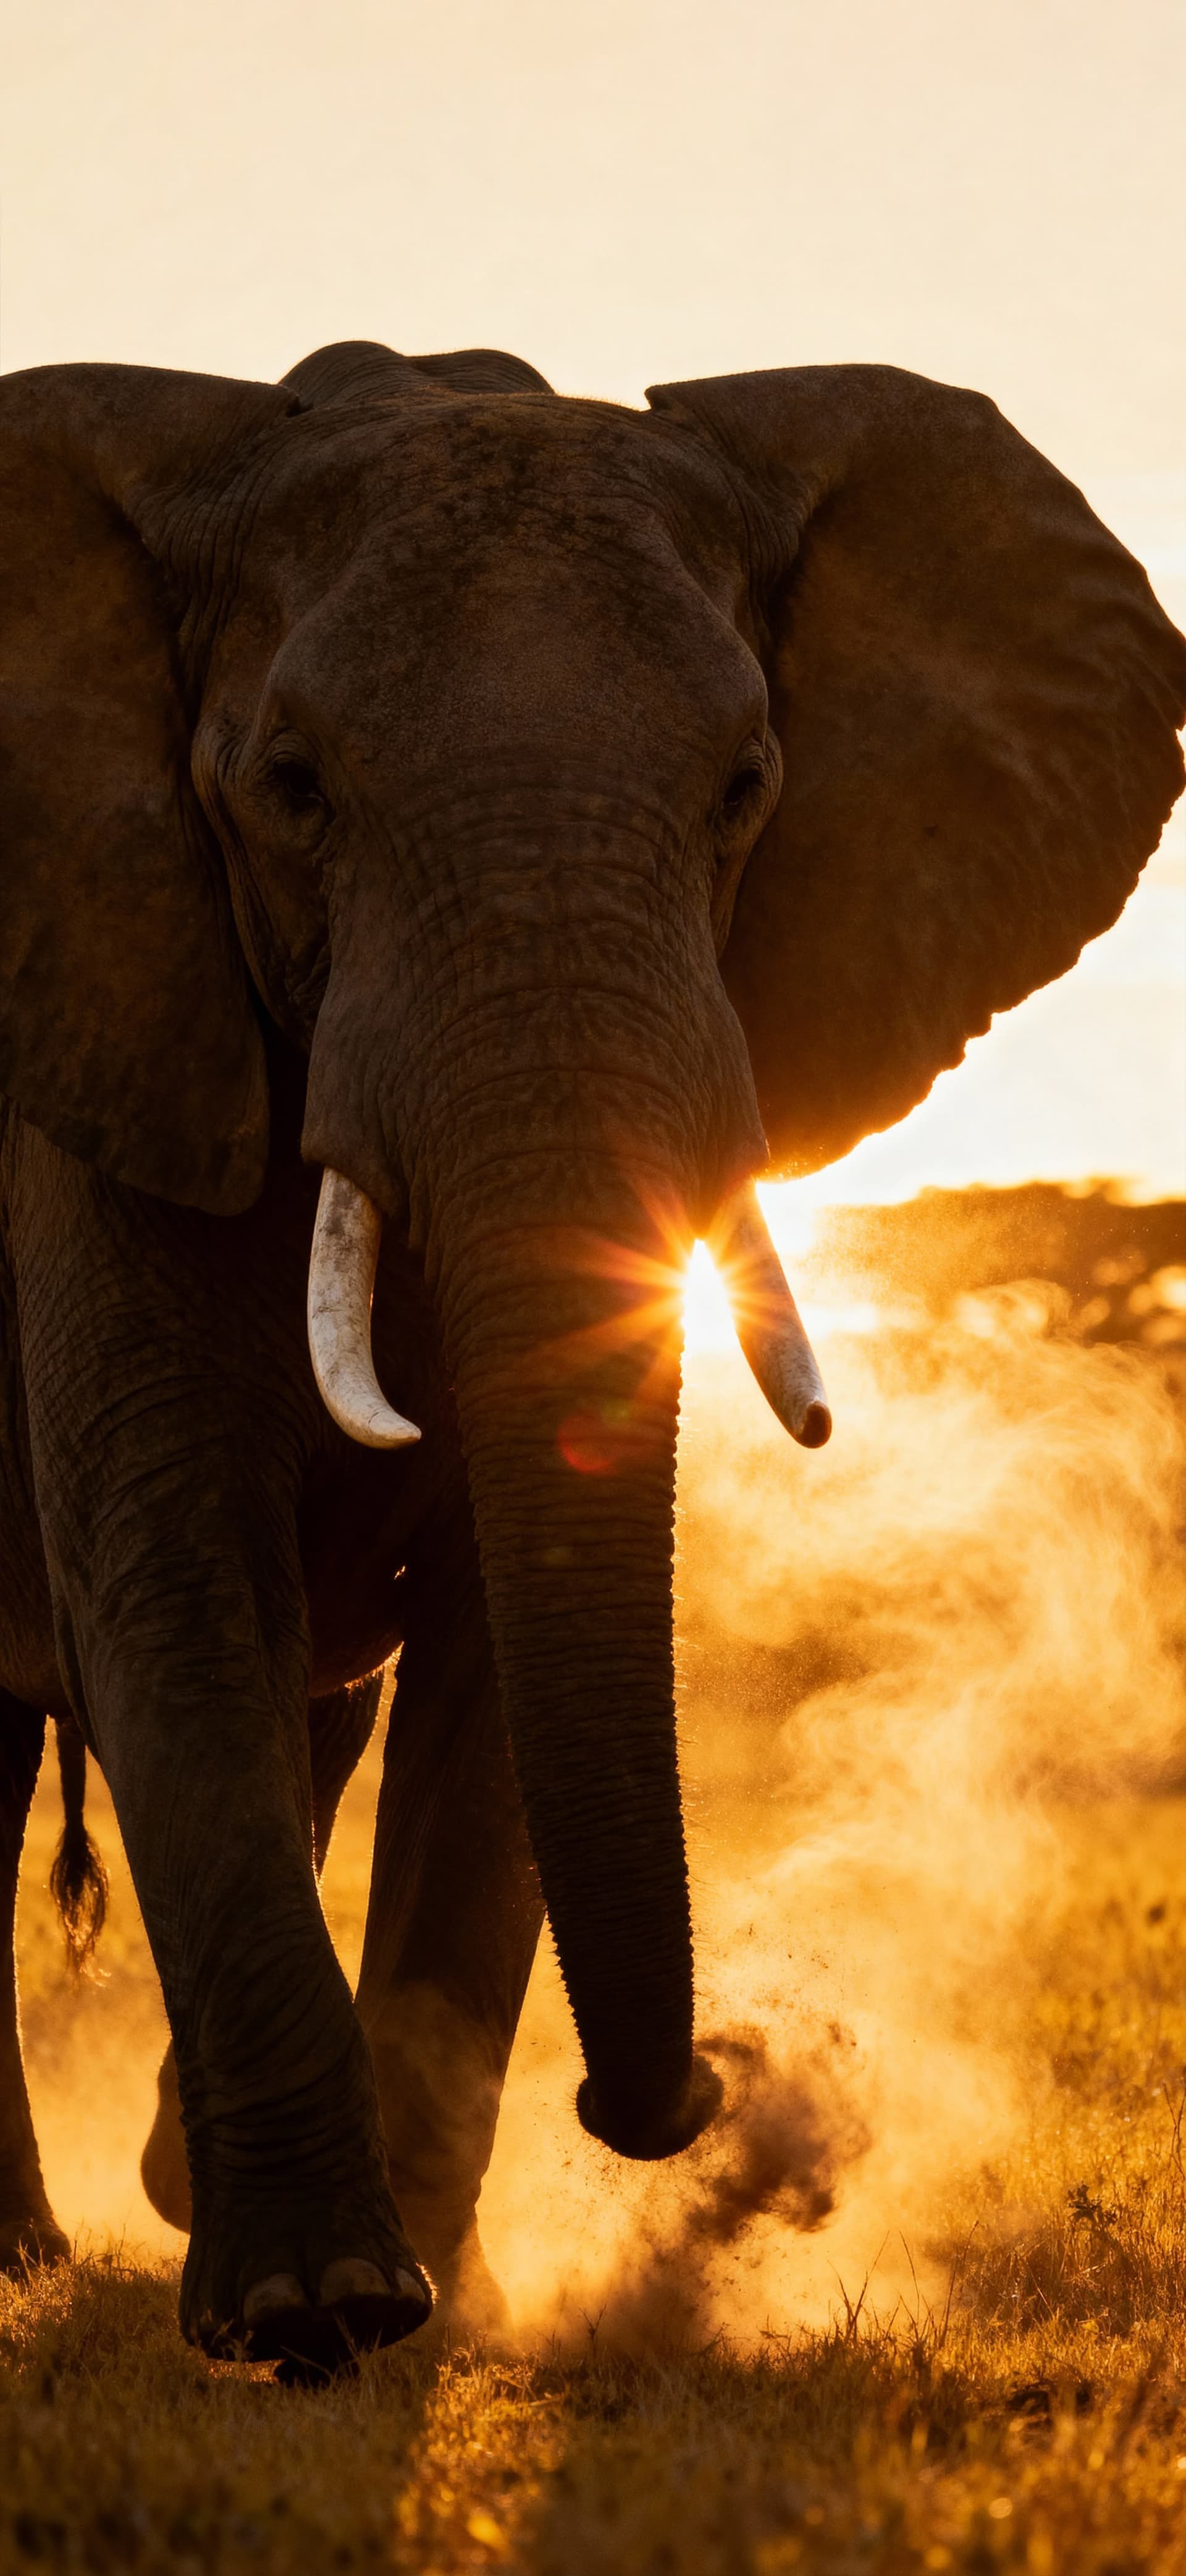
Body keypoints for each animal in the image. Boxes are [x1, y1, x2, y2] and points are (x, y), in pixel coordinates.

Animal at [0, 335, 1183, 2375]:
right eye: (290, 788)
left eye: (747, 786)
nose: (705, 2091)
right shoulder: (109, 1015)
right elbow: (172, 1575)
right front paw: (312, 2315)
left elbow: (491, 1634)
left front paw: (425, 2308)